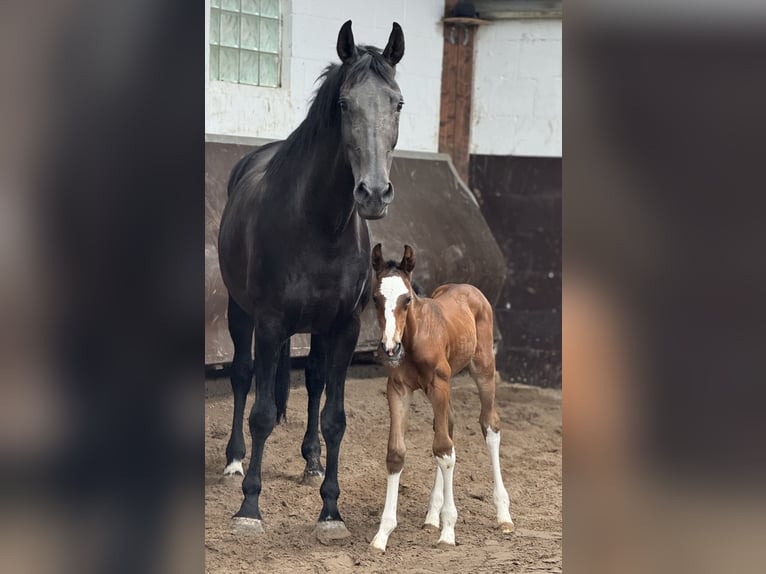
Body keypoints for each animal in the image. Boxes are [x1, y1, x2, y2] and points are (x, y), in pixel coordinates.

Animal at [218, 19, 404, 540]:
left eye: (397, 103)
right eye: (343, 104)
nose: (374, 193)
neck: (319, 224)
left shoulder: (343, 328)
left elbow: (334, 418)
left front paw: (330, 512)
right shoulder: (270, 323)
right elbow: (261, 413)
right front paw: (249, 509)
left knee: (317, 382)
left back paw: (313, 461)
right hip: (240, 313)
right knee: (242, 377)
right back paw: (234, 461)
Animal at [370, 244, 516, 552]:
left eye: (406, 299)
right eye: (375, 298)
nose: (390, 348)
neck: (414, 339)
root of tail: (470, 288)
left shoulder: (439, 384)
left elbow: (445, 452)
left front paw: (448, 530)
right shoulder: (398, 389)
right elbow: (399, 452)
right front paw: (383, 534)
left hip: (483, 369)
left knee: (489, 425)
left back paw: (503, 515)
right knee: (446, 426)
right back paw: (431, 515)